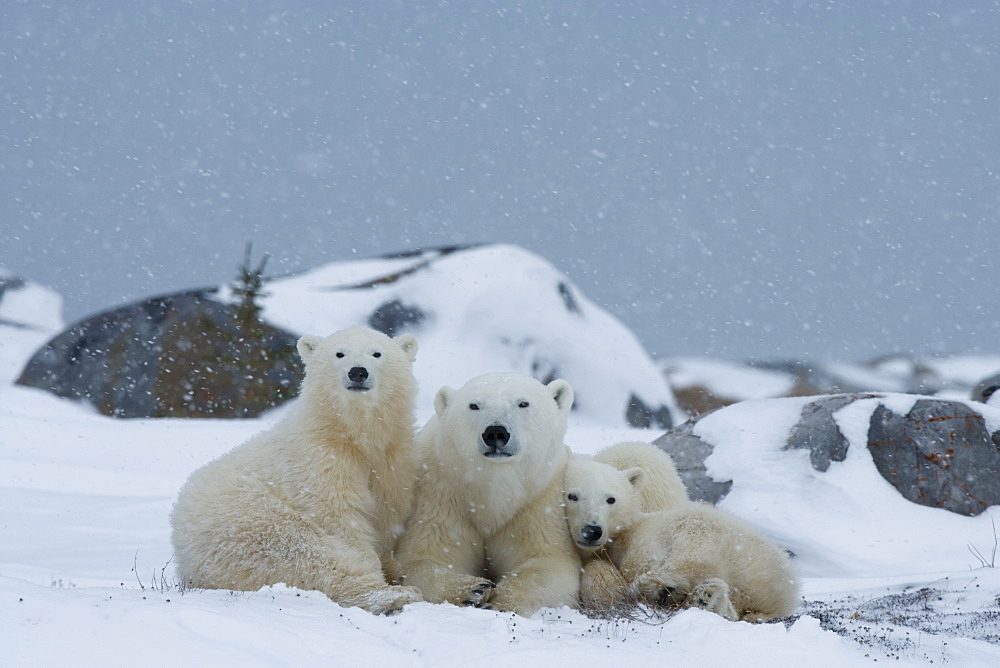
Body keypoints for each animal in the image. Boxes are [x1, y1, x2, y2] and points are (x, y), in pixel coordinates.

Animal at [172, 328, 422, 616]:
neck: (352, 434)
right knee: (304, 552)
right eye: (339, 353)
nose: (357, 372)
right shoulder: (319, 458)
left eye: (377, 353)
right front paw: (381, 572)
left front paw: (390, 563)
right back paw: (395, 595)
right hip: (246, 522)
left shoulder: (393, 459)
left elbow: (386, 509)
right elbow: (339, 515)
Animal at [398, 370, 584, 616]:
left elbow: (548, 562)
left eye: (523, 403)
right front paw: (473, 590)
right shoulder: (440, 493)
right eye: (474, 405)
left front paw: (500, 601)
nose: (496, 432)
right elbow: (425, 557)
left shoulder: (540, 499)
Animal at [568, 454, 800, 620]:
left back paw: (660, 586)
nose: (592, 530)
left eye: (611, 499)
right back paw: (708, 598)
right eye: (573, 496)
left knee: (690, 552)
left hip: (717, 537)